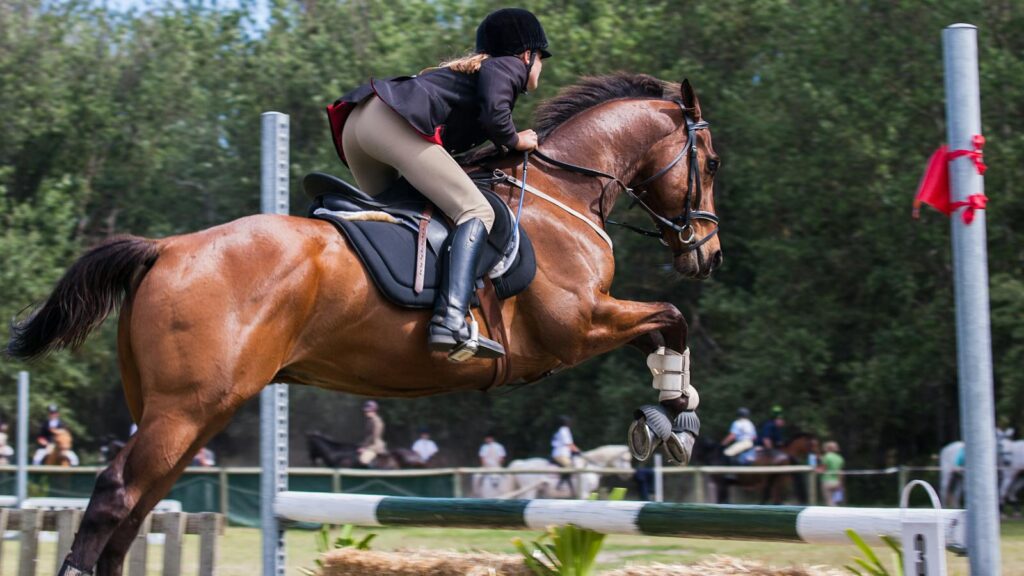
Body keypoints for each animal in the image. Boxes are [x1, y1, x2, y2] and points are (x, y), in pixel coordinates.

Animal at [6, 73, 722, 576]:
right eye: (710, 164)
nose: (706, 255)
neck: (560, 196)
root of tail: (166, 249)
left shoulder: (588, 323)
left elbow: (663, 327)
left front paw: (672, 410)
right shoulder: (574, 327)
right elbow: (671, 319)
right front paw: (673, 420)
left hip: (190, 413)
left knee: (138, 508)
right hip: (183, 410)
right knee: (114, 495)